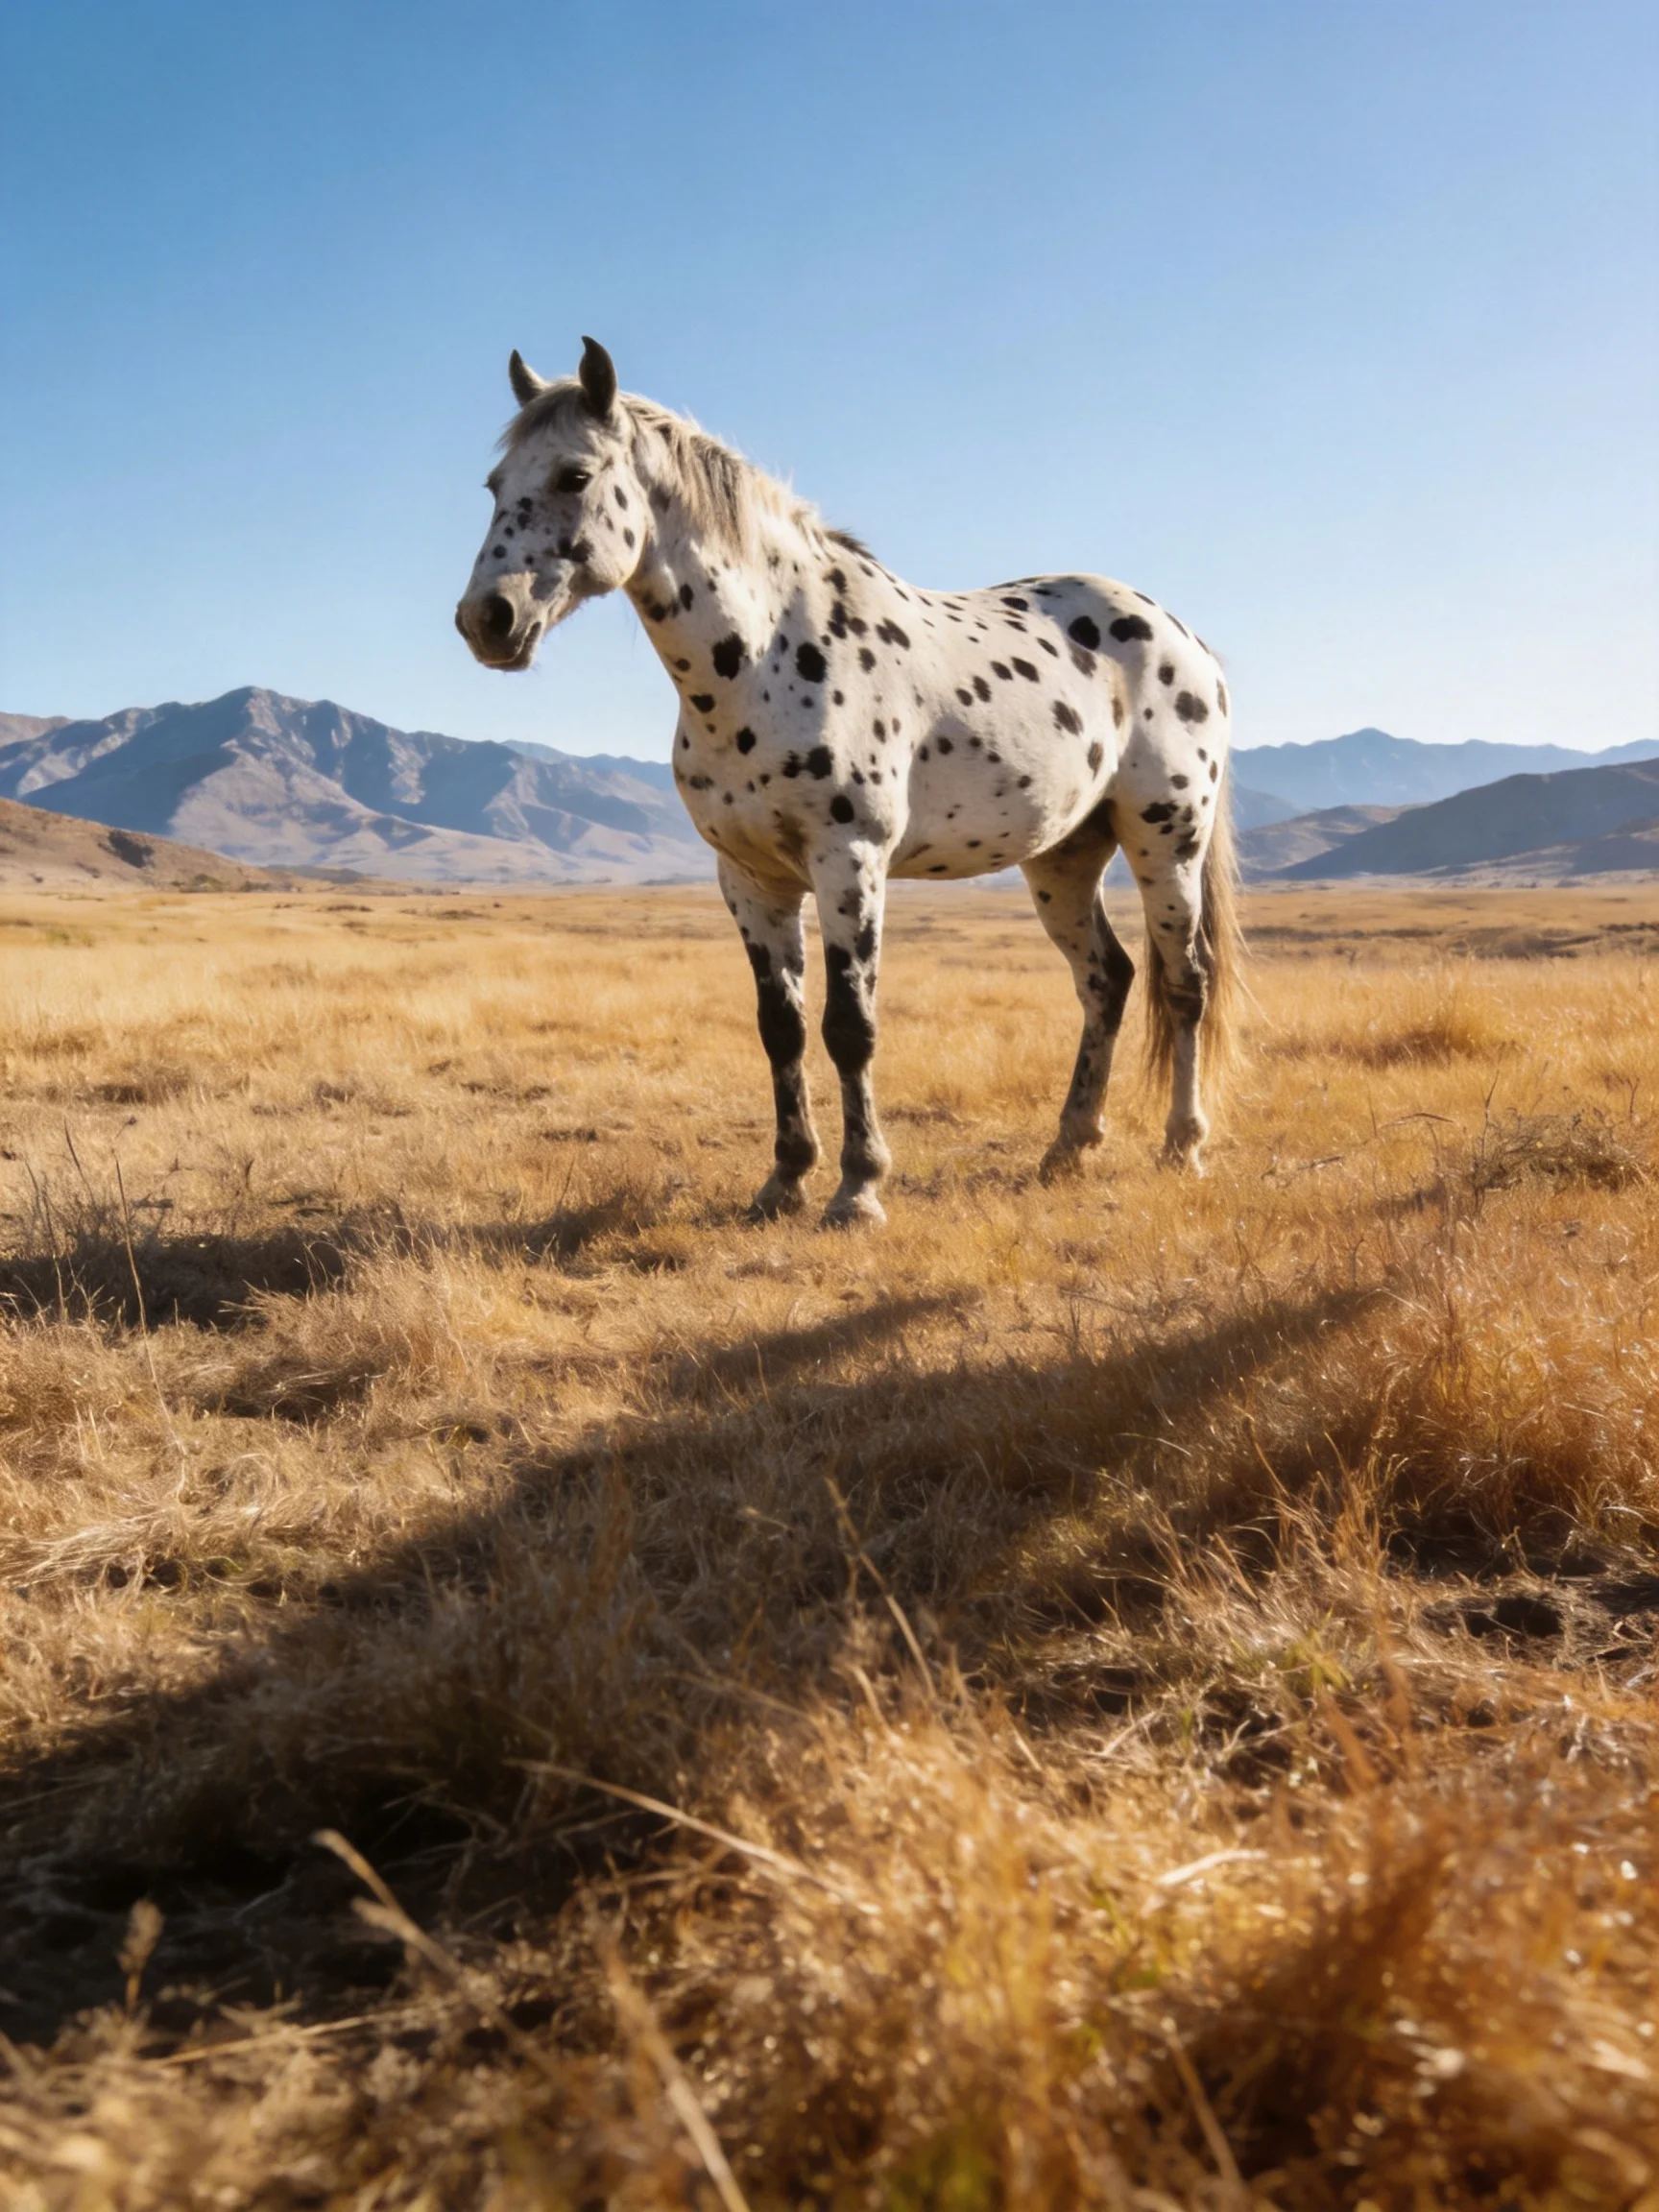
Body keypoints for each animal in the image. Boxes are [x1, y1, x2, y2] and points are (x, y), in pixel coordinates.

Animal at [456, 337, 1240, 1228]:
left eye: (575, 475)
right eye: (494, 485)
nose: (486, 619)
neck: (763, 656)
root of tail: (1182, 636)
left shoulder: (849, 862)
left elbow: (850, 1027)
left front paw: (859, 1189)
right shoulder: (751, 879)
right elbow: (782, 1029)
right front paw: (784, 1180)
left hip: (1165, 840)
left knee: (1185, 982)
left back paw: (1183, 1147)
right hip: (1063, 858)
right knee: (1108, 980)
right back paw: (1067, 1148)